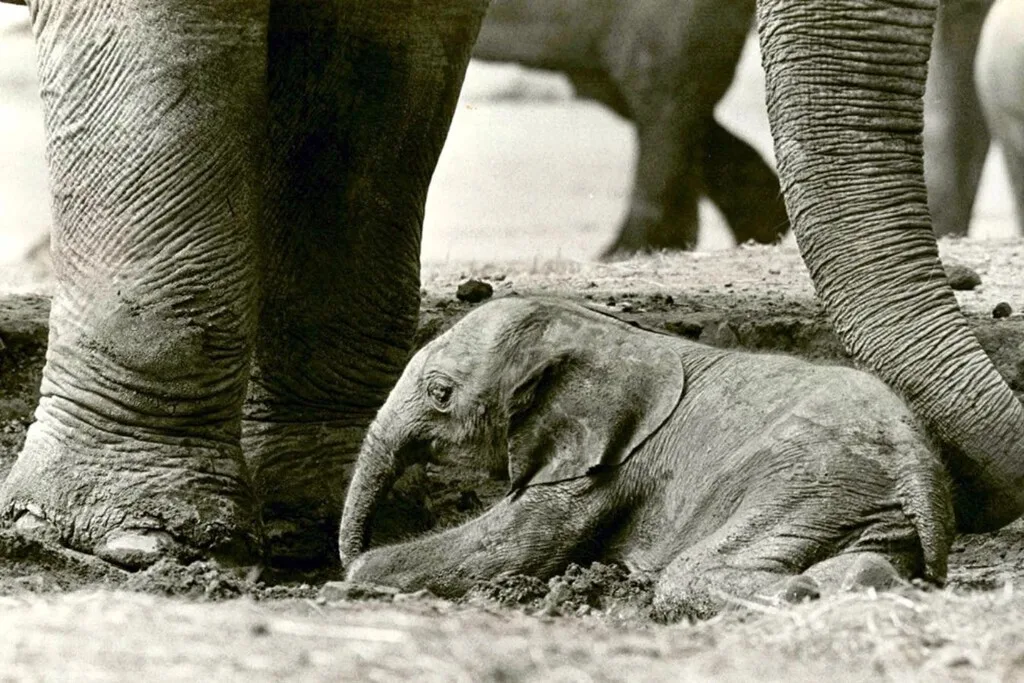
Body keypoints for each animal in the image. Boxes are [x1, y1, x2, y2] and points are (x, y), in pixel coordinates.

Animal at [338, 296, 954, 616]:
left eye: (440, 394)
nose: (350, 549)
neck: (599, 330)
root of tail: (917, 464)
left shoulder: (606, 457)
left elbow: (512, 548)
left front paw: (355, 578)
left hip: (807, 479)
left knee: (687, 573)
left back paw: (799, 594)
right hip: (853, 503)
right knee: (871, 558)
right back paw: (855, 583)